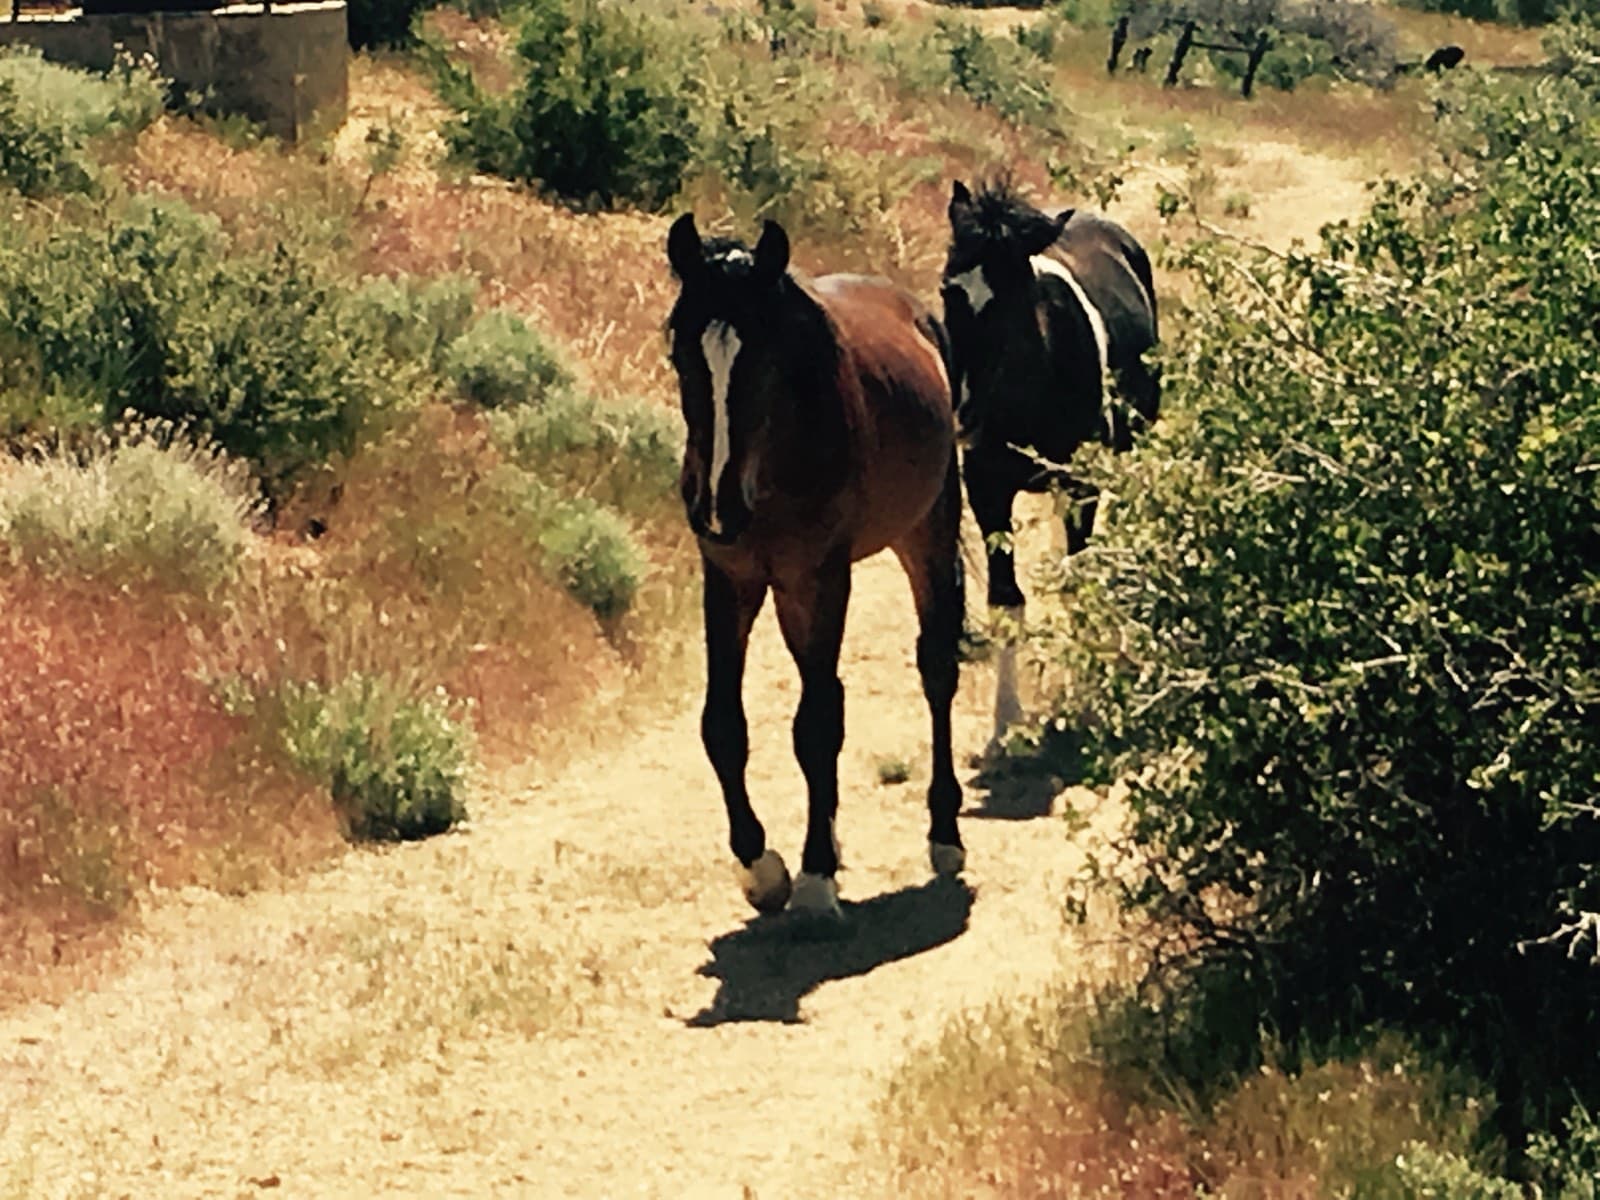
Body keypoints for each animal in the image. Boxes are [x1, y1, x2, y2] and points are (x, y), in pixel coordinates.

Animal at [665, 213, 968, 919]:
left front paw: (814, 878)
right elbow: (724, 724)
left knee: (936, 670)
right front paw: (763, 868)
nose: (718, 506)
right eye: (682, 356)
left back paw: (944, 833)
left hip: (924, 535)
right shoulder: (733, 580)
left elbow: (817, 725)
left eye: (767, 360)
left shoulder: (822, 578)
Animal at [941, 179, 1160, 742]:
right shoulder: (988, 489)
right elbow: (1007, 598)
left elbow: (1075, 583)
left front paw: (1082, 688)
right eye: (948, 289)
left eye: (1013, 297)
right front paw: (1007, 719)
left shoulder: (1082, 484)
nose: (964, 413)